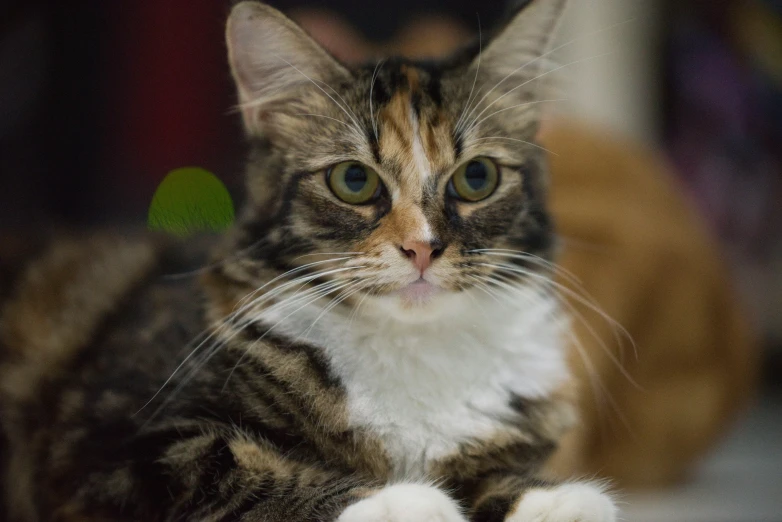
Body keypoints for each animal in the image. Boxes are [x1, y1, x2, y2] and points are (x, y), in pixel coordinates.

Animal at [1, 2, 624, 516]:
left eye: (476, 178)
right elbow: (234, 467)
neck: (410, 346)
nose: (423, 247)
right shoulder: (103, 449)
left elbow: (496, 475)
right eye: (353, 180)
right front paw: (402, 502)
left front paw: (555, 501)